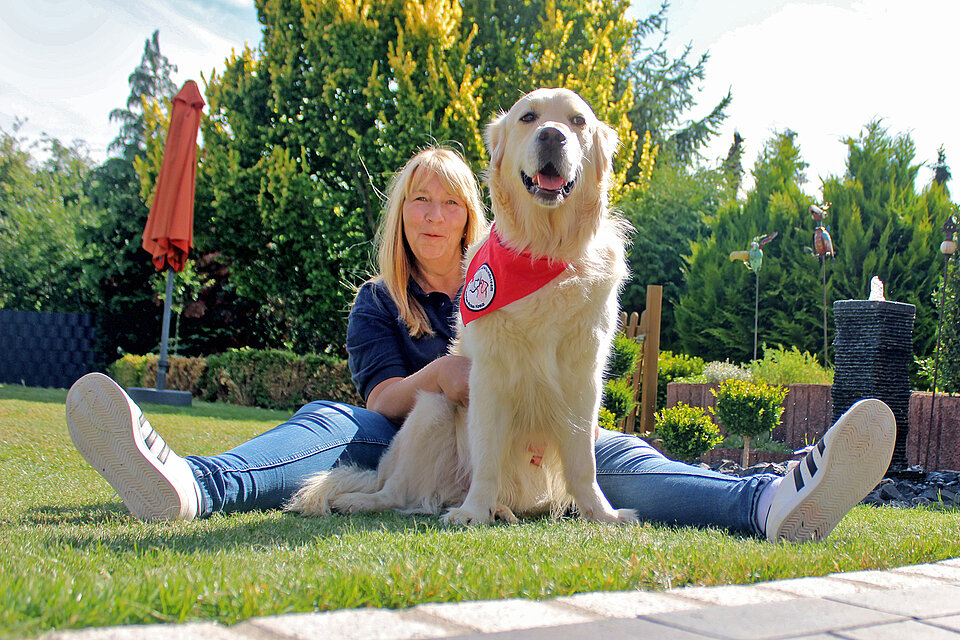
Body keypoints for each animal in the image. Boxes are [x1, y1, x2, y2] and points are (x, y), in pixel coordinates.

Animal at [288, 89, 640, 524]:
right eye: (528, 117)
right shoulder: (487, 378)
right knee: (394, 491)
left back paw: (500, 509)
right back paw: (365, 501)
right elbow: (487, 456)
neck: (542, 254)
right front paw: (473, 512)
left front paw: (602, 513)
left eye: (578, 122)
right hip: (431, 407)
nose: (552, 136)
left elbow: (582, 463)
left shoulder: (582, 380)